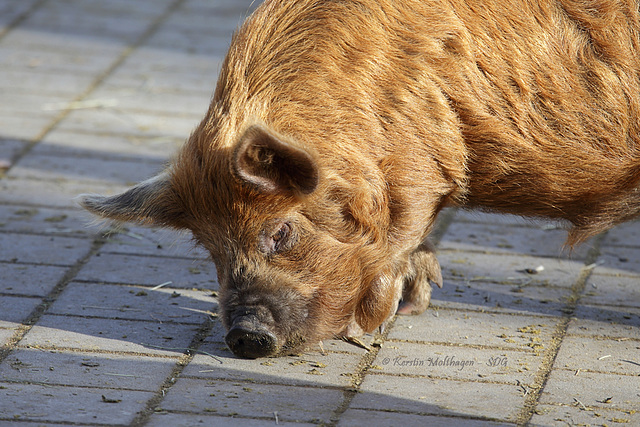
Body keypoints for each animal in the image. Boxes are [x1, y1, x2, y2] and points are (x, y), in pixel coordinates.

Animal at [80, 0, 640, 360]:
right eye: (210, 249)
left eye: (281, 231)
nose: (244, 336)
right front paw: (413, 304)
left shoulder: (419, 171)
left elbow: (396, 238)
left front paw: (375, 320)